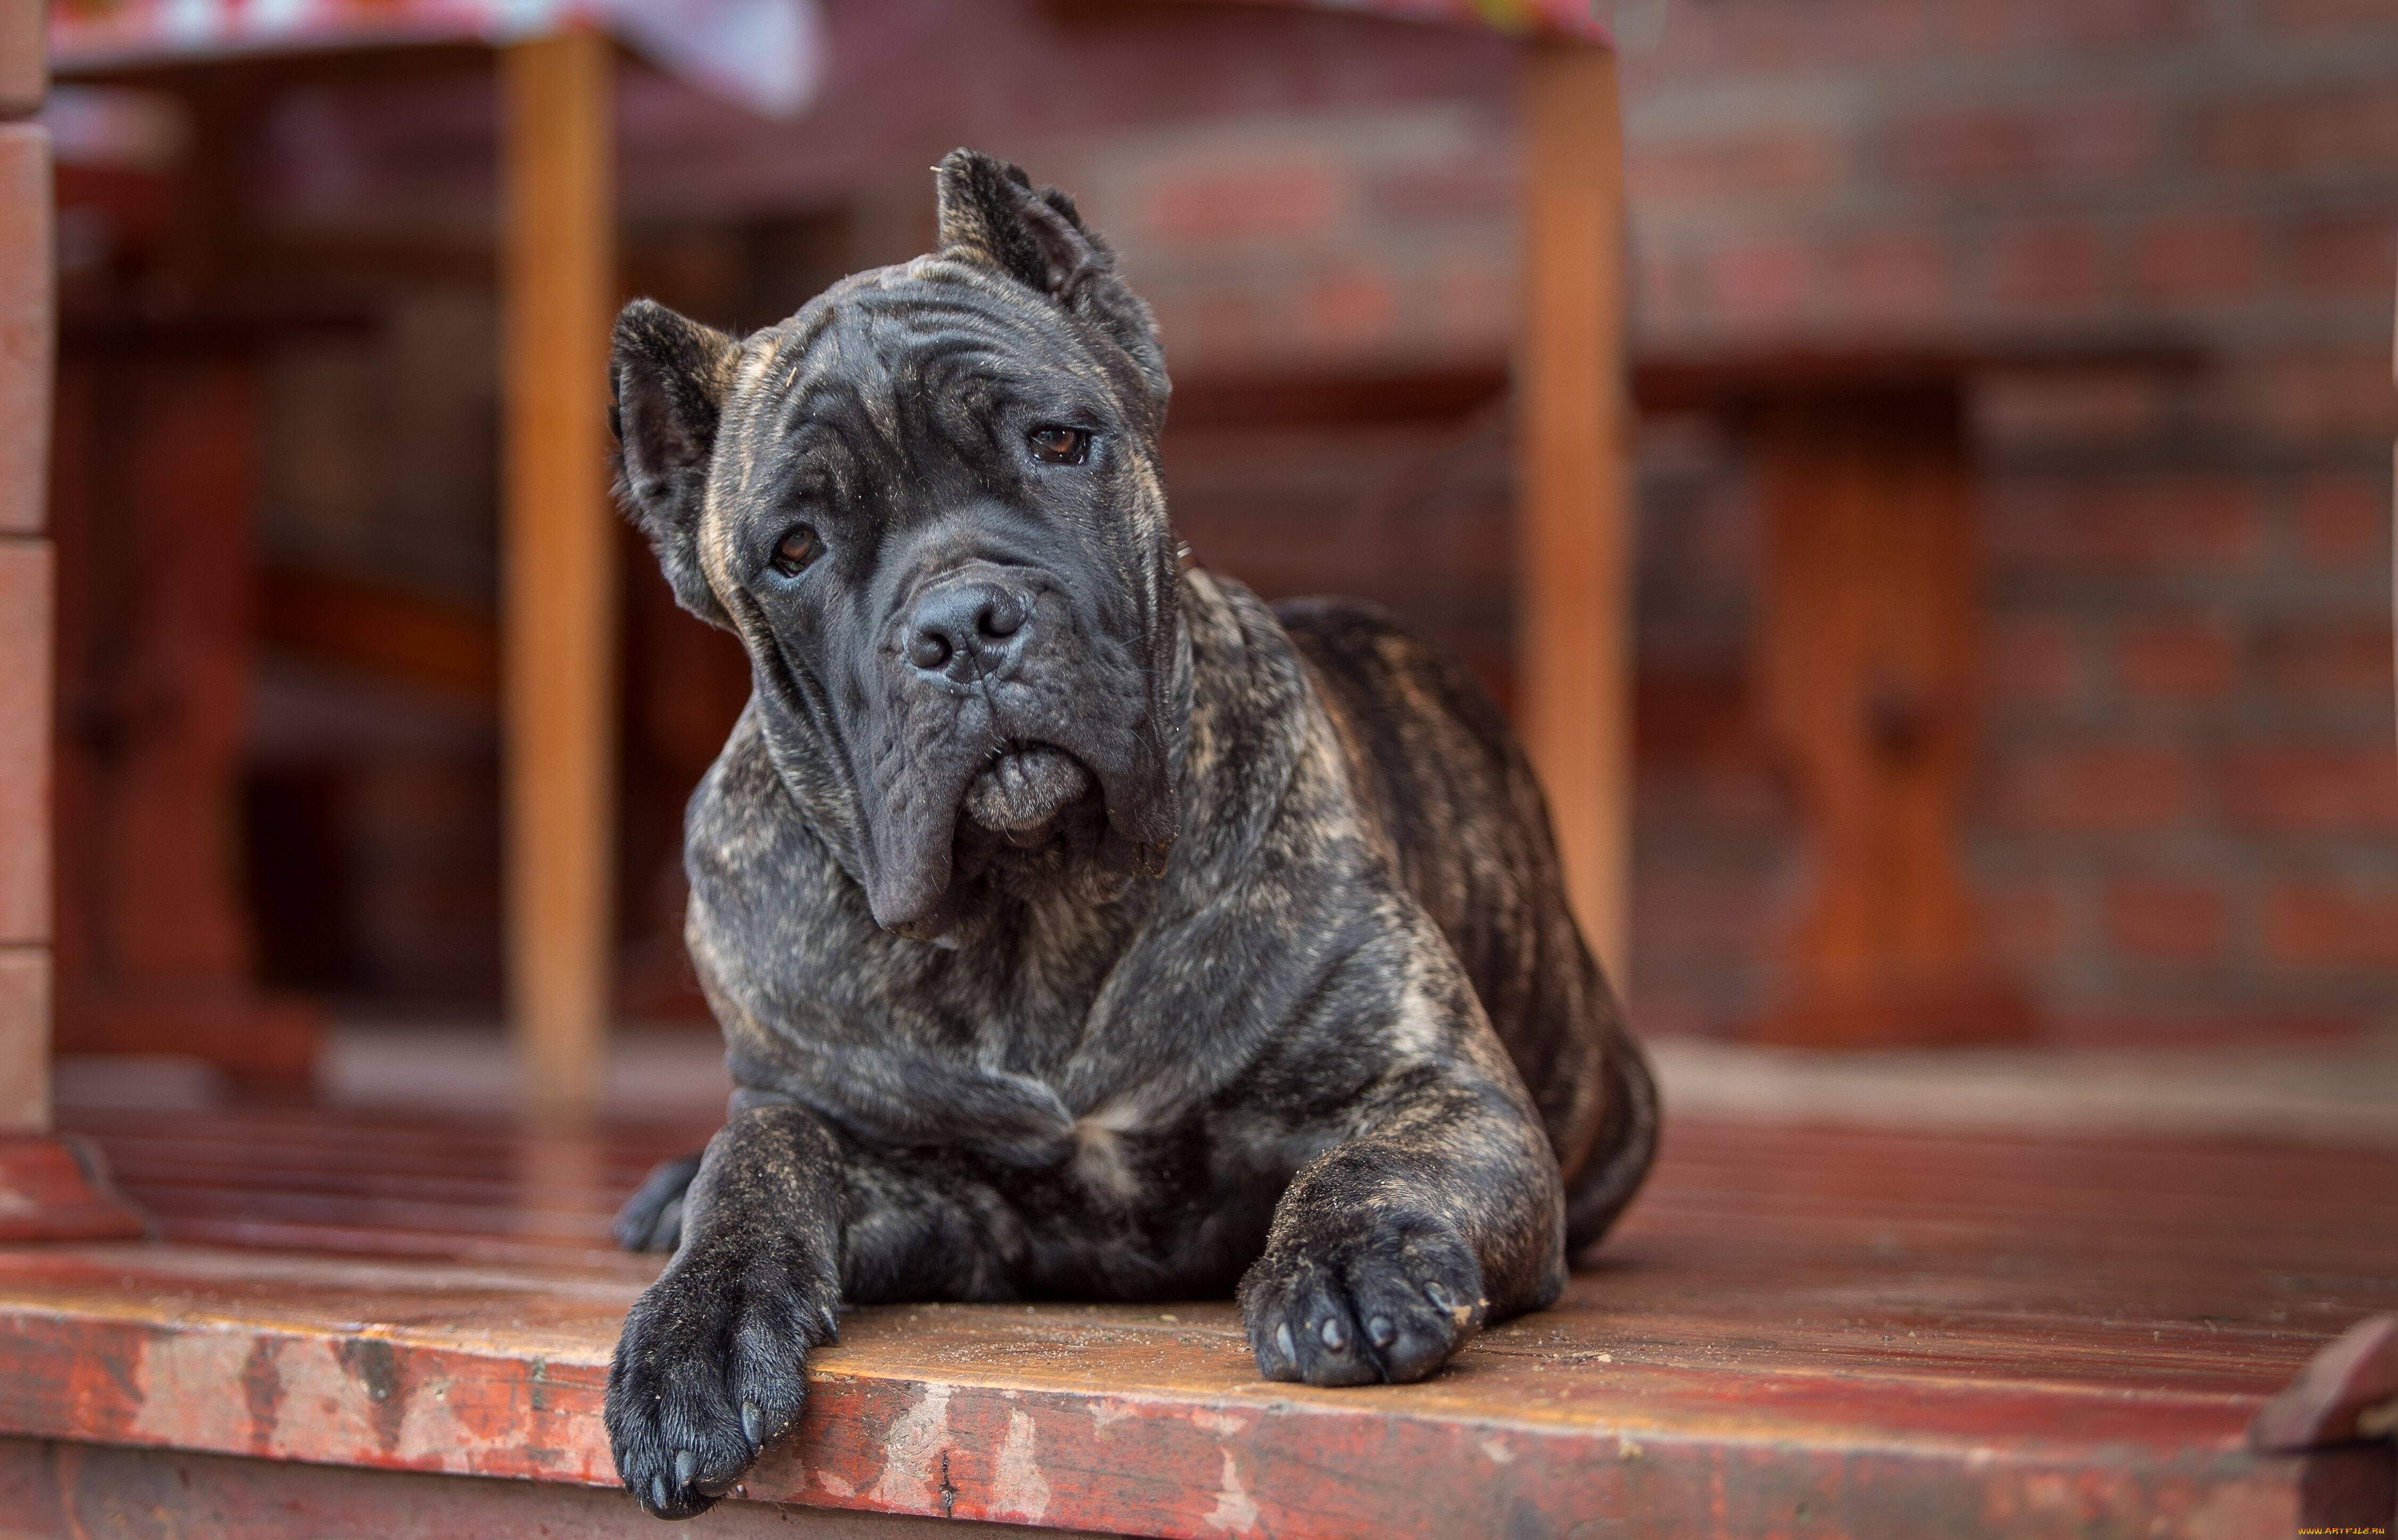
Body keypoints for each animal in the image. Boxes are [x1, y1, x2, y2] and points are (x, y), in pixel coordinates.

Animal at [604, 150, 1649, 1515]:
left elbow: (1375, 1163)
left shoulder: (1437, 1087)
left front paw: (1349, 1264)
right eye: (793, 549)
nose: (962, 624)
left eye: (1057, 442)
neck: (1036, 898)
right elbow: (760, 1164)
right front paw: (696, 1330)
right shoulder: (878, 1149)